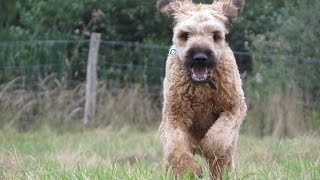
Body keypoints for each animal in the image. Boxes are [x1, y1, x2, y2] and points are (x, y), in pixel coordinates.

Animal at [158, 0, 248, 179]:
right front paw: (190, 170)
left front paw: (207, 147)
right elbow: (176, 147)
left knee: (222, 164)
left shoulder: (234, 108)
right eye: (185, 34)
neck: (202, 88)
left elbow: (218, 137)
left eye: (215, 34)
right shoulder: (173, 117)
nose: (200, 57)